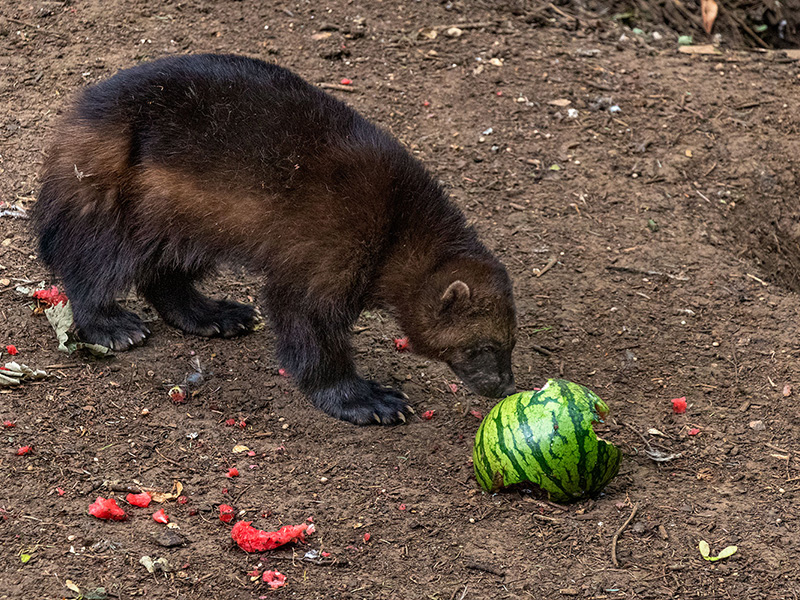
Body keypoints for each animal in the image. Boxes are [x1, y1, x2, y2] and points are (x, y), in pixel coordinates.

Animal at [32, 54, 517, 425]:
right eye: (482, 346)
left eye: (510, 343)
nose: (505, 386)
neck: (396, 222)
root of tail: (79, 119)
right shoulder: (331, 249)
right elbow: (308, 325)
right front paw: (367, 400)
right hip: (121, 200)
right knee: (90, 265)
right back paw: (113, 326)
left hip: (192, 221)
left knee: (164, 275)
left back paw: (216, 314)